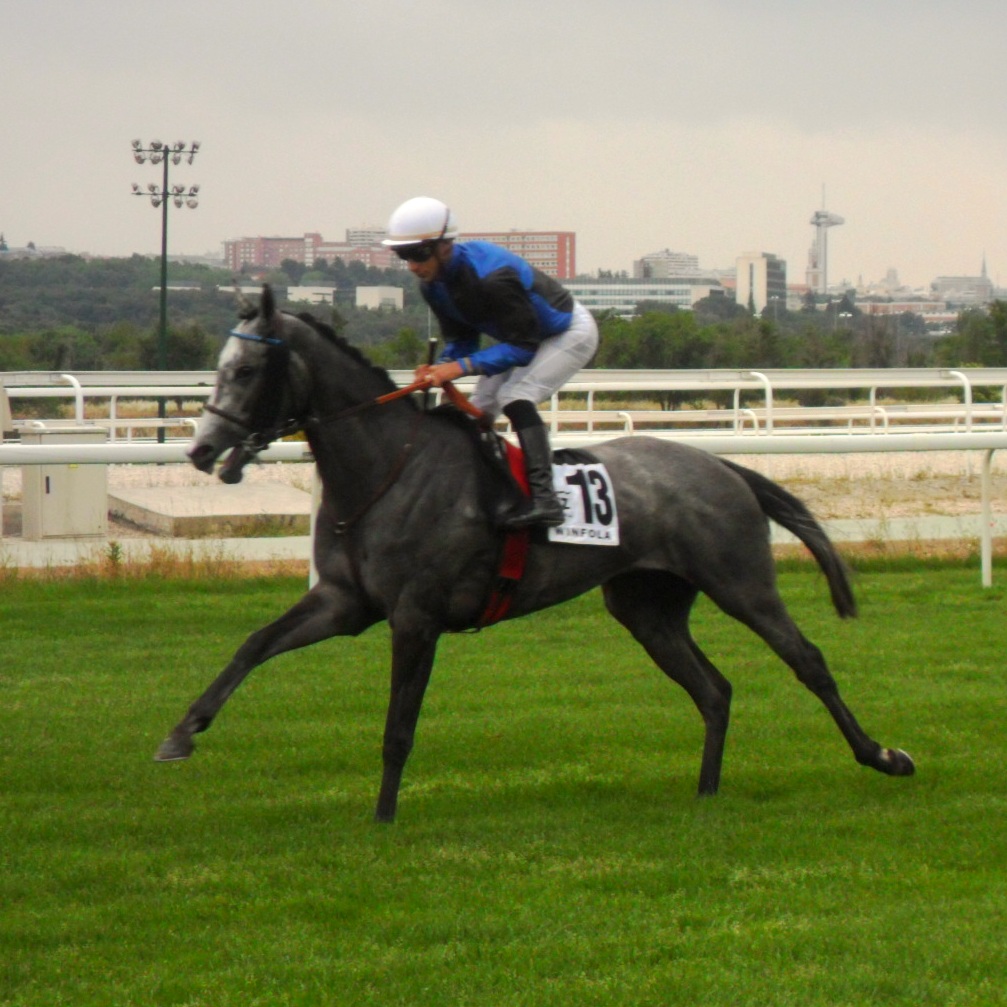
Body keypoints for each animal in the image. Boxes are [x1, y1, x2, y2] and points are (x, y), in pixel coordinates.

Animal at [154, 285, 914, 822]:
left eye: (248, 367)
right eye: (218, 367)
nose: (200, 450)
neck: (385, 467)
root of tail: (724, 466)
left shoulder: (414, 616)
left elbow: (398, 726)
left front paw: (383, 816)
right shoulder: (344, 602)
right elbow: (253, 644)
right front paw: (182, 734)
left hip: (740, 582)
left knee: (806, 660)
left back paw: (882, 754)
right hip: (646, 608)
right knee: (713, 689)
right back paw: (706, 791)